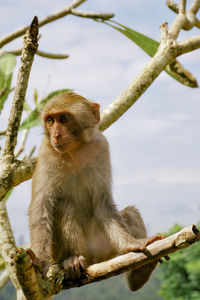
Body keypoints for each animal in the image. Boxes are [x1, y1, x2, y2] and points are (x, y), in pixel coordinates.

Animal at [28, 92, 162, 290]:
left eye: (64, 118)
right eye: (50, 121)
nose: (56, 135)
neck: (75, 152)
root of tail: (92, 259)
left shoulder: (101, 146)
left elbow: (103, 202)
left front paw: (133, 244)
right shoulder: (46, 152)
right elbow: (41, 207)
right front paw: (41, 262)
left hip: (104, 249)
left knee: (130, 212)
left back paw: (139, 274)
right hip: (63, 251)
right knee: (63, 205)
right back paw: (73, 260)